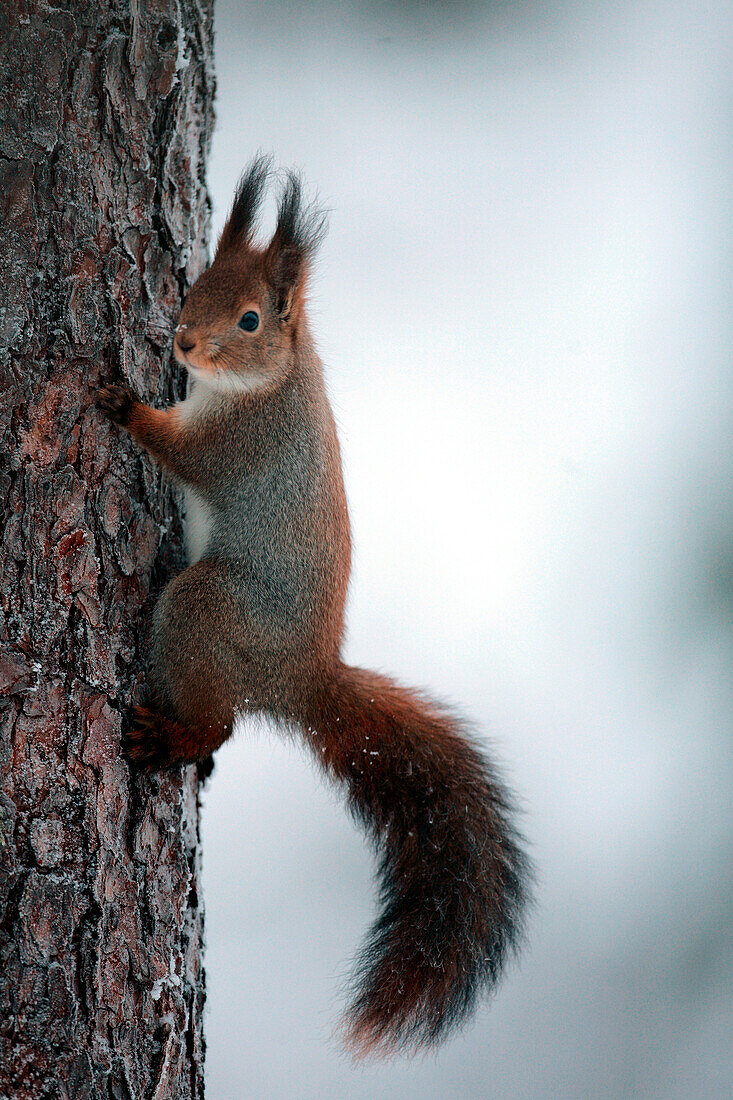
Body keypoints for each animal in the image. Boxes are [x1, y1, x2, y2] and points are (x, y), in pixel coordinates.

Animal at [98, 159, 530, 1051]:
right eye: (194, 286)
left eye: (251, 319)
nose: (182, 341)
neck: (270, 378)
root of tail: (305, 678)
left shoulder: (238, 443)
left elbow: (181, 448)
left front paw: (125, 404)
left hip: (209, 612)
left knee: (219, 720)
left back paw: (177, 735)